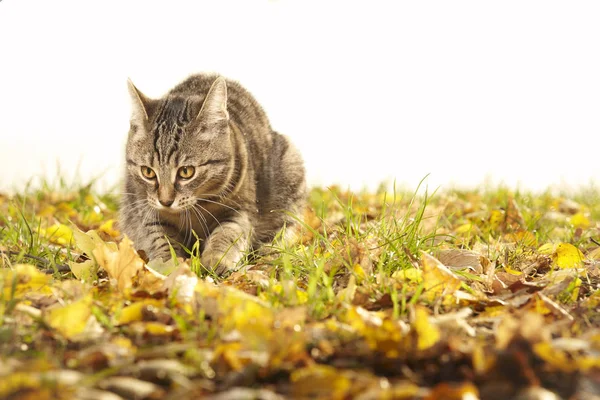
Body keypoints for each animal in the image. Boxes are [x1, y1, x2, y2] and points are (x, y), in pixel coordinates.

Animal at [118, 74, 304, 276]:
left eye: (186, 171)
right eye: (148, 172)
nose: (165, 201)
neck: (192, 210)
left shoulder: (241, 210)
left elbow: (227, 235)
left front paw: (216, 261)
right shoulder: (146, 210)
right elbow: (160, 239)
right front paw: (169, 265)